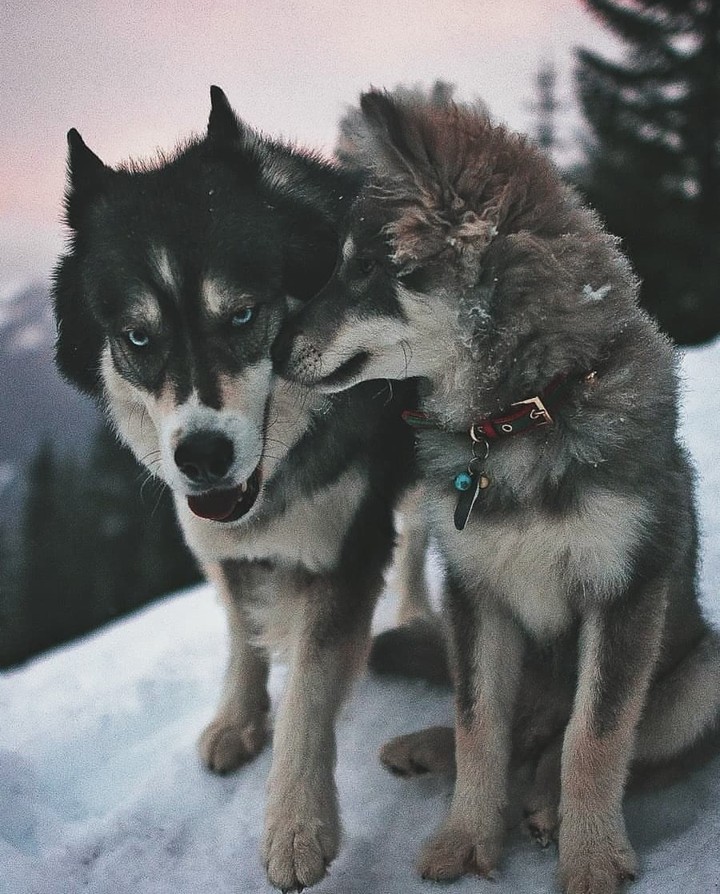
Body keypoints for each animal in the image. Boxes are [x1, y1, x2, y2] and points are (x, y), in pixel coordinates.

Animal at [52, 87, 418, 891]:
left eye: (244, 314)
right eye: (138, 338)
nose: (202, 455)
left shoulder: (343, 549)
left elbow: (310, 687)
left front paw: (296, 825)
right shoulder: (215, 536)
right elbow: (240, 625)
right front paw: (238, 718)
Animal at [273, 89, 720, 893]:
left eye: (366, 270)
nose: (268, 350)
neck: (520, 416)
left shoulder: (624, 591)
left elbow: (595, 738)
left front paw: (592, 855)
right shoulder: (476, 595)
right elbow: (479, 725)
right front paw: (466, 836)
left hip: (704, 674)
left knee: (573, 747)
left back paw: (546, 801)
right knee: (505, 733)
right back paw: (430, 749)